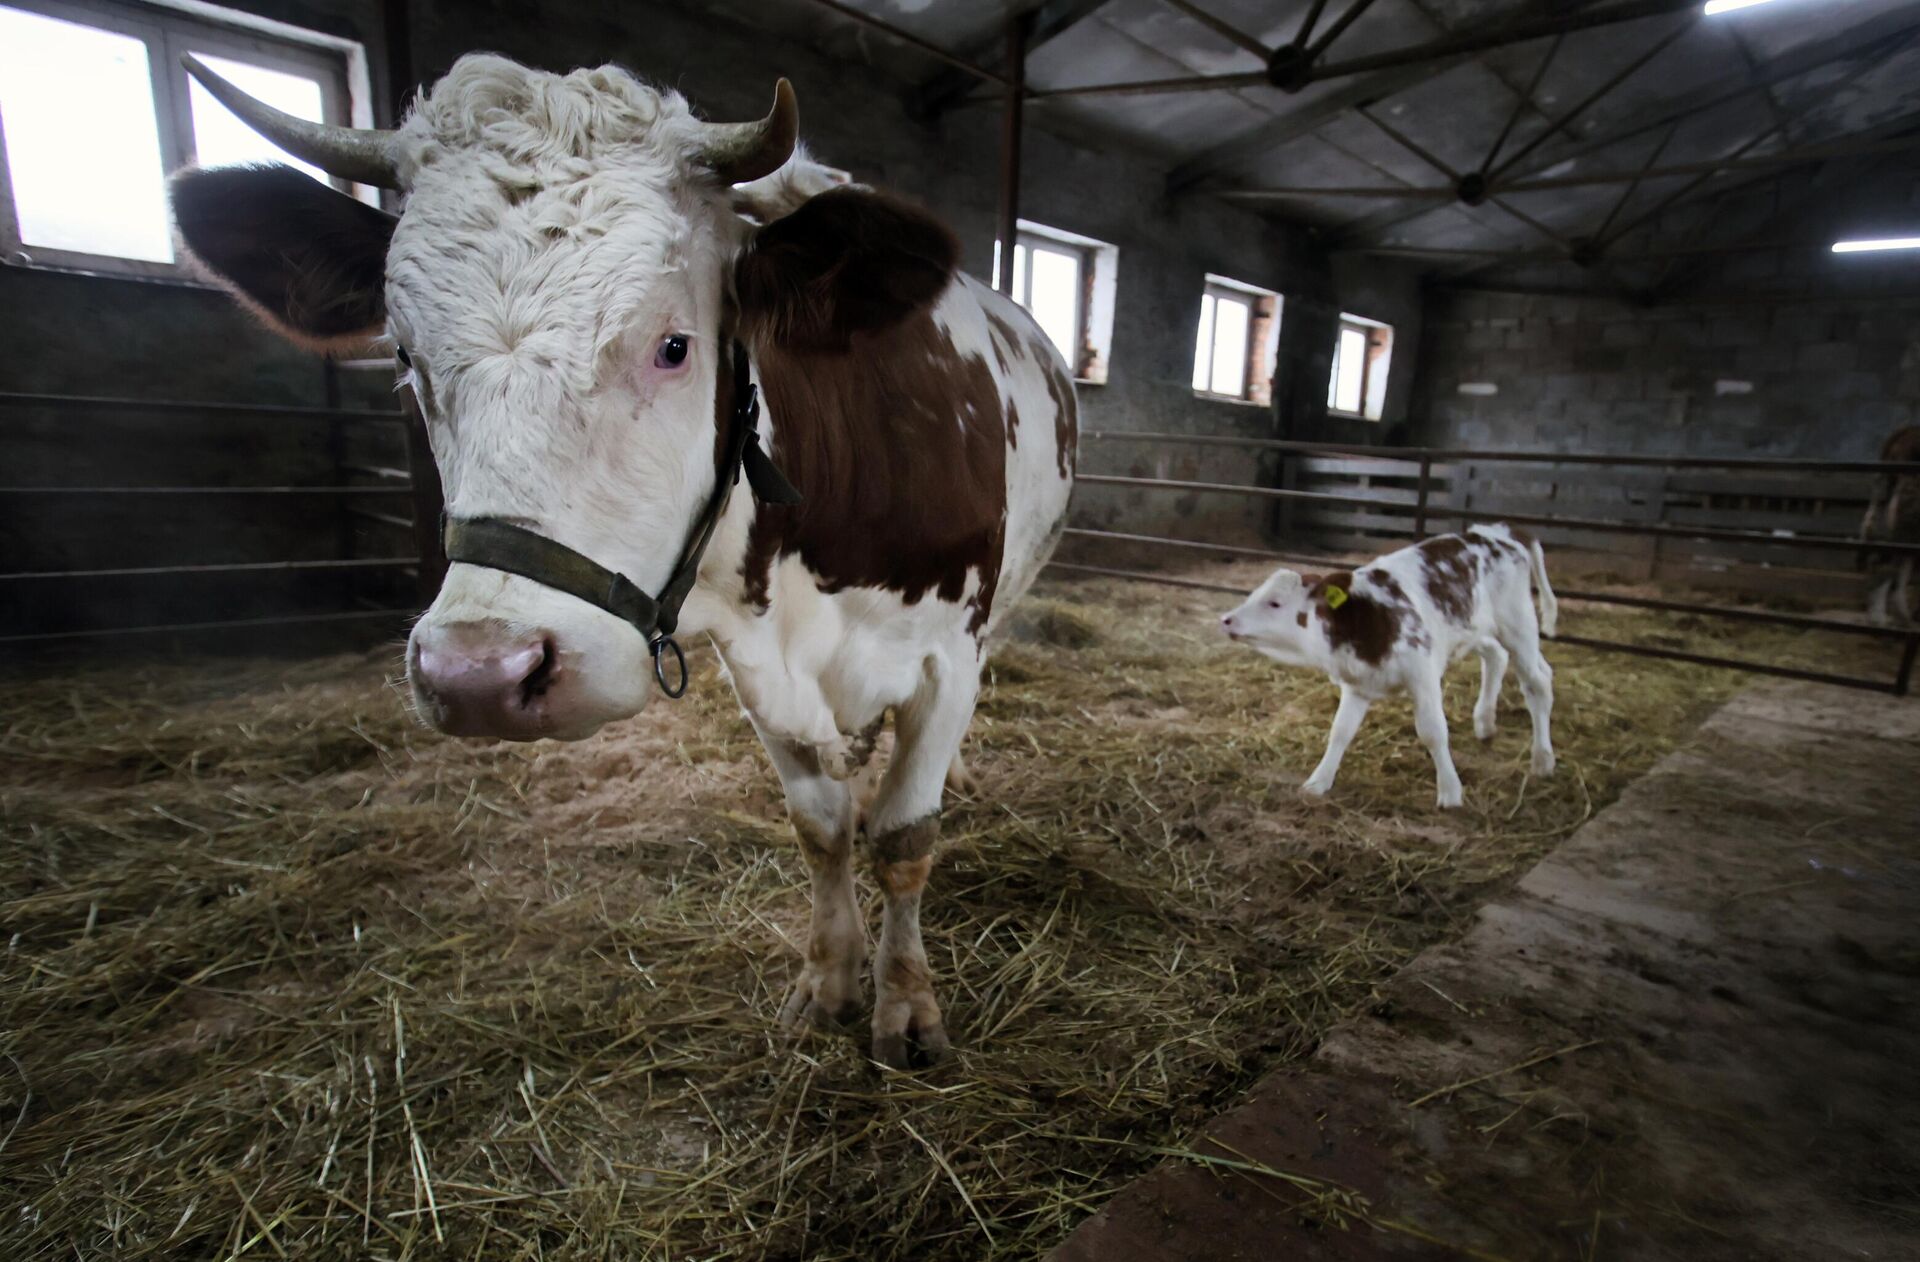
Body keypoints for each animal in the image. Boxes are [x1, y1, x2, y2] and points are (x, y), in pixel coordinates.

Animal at [167, 56, 1082, 1060]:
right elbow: (823, 827)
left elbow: (903, 838)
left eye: (674, 346)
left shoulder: (944, 654)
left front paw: (907, 1009)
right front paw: (829, 983)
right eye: (405, 356)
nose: (483, 675)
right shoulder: (757, 668)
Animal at [1221, 522, 1551, 806]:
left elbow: (1433, 731)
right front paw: (1318, 781)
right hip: (1475, 630)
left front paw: (1450, 791)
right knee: (1498, 657)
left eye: (1275, 602)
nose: (1226, 619)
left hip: (1518, 624)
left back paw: (1542, 759)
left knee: (1537, 684)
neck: (1367, 619)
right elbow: (1340, 731)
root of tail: (1496, 533)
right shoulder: (1357, 685)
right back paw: (1485, 722)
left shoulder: (1423, 676)